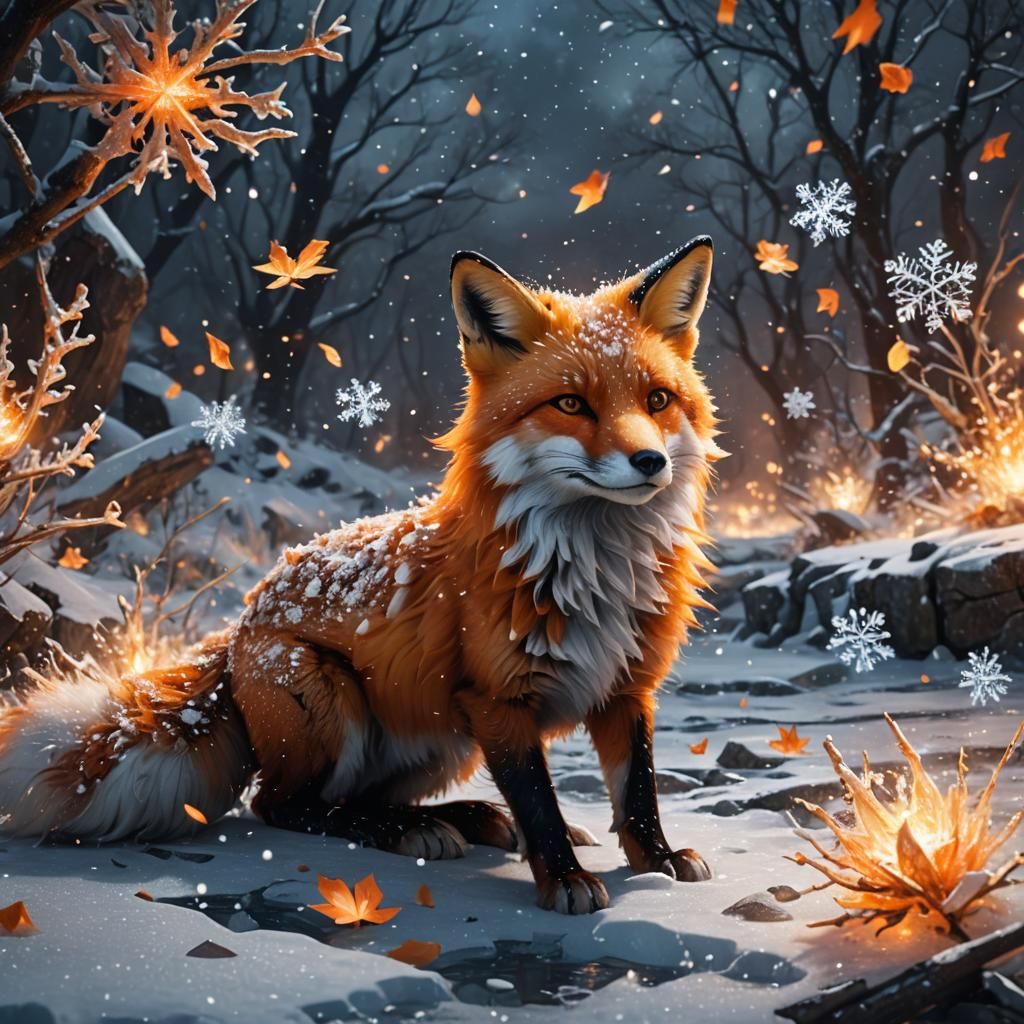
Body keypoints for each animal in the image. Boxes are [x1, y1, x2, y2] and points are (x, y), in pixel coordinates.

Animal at [0, 236, 723, 914]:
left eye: (658, 399)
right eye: (571, 403)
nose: (650, 462)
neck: (596, 573)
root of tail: (240, 624)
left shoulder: (627, 687)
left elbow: (637, 791)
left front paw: (657, 865)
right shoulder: (497, 699)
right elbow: (539, 801)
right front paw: (565, 880)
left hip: (443, 737)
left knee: (356, 797)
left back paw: (455, 817)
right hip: (333, 700)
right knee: (286, 805)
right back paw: (405, 830)